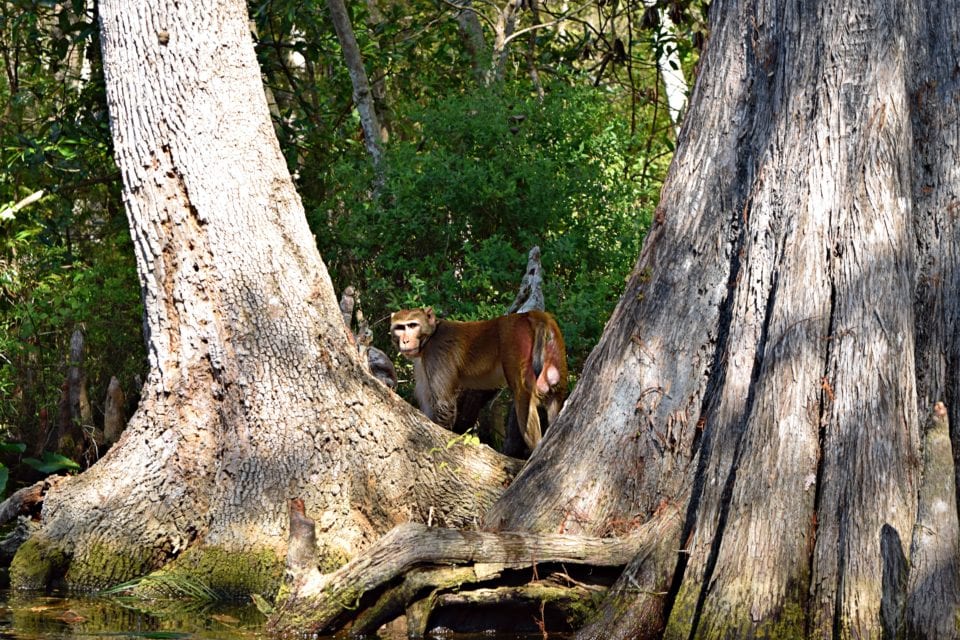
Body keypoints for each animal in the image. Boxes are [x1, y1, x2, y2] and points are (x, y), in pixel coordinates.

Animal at [392, 308, 568, 452]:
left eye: (413, 325)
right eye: (400, 328)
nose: (405, 341)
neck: (430, 336)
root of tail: (530, 315)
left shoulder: (436, 353)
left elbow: (444, 405)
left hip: (515, 343)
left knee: (523, 398)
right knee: (555, 398)